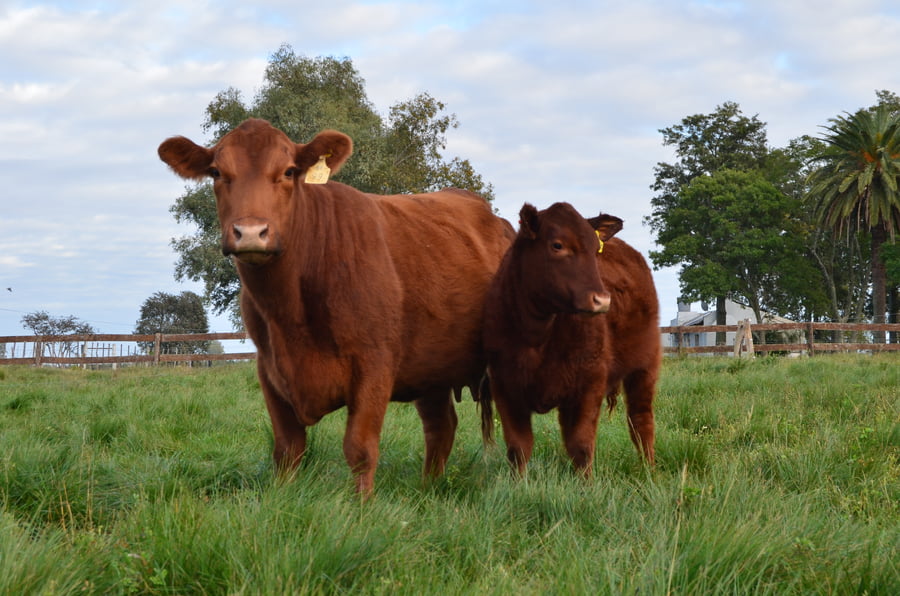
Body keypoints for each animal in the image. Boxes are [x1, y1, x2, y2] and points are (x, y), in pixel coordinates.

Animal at [158, 118, 514, 494]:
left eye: (289, 171)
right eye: (216, 172)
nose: (251, 232)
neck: (291, 314)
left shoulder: (375, 364)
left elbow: (360, 448)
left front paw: (362, 505)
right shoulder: (269, 369)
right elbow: (287, 448)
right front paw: (282, 498)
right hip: (431, 367)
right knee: (441, 426)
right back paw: (429, 488)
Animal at [482, 202, 660, 477]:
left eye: (595, 250)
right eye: (557, 245)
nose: (602, 300)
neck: (537, 337)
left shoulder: (589, 384)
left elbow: (581, 446)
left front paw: (586, 484)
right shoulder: (504, 386)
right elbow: (518, 447)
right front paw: (518, 483)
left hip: (645, 367)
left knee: (641, 422)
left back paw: (649, 471)